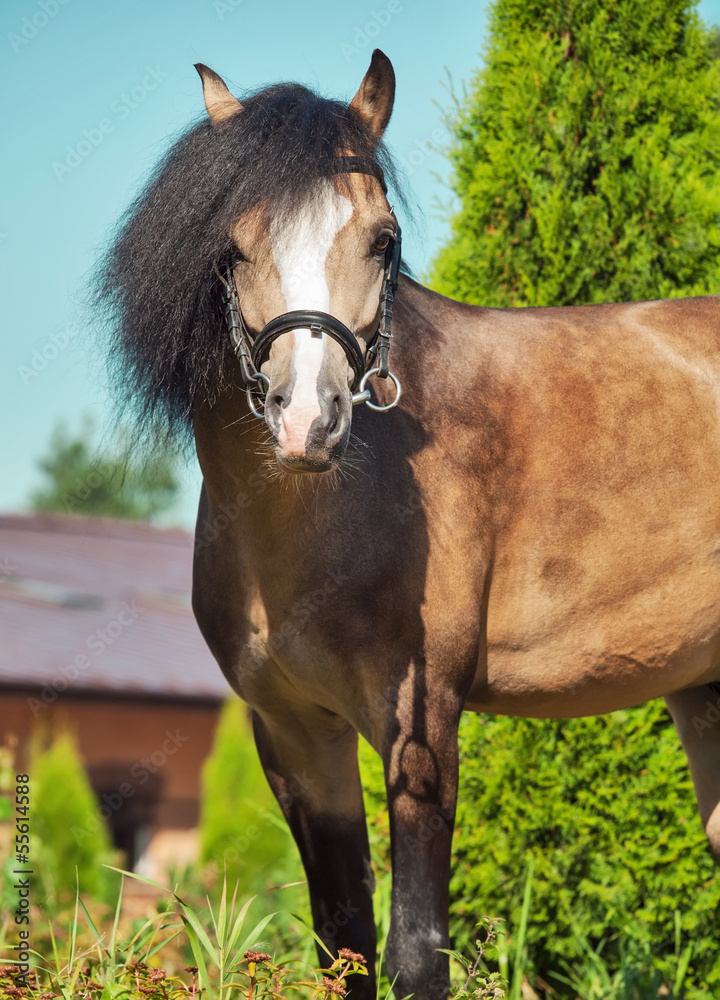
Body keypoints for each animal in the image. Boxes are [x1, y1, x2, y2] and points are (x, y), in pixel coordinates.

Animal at [96, 48, 720, 1000]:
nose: (308, 421)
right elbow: (343, 942)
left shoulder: (420, 724)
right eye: (232, 248)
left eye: (382, 242)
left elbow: (416, 952)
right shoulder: (294, 736)